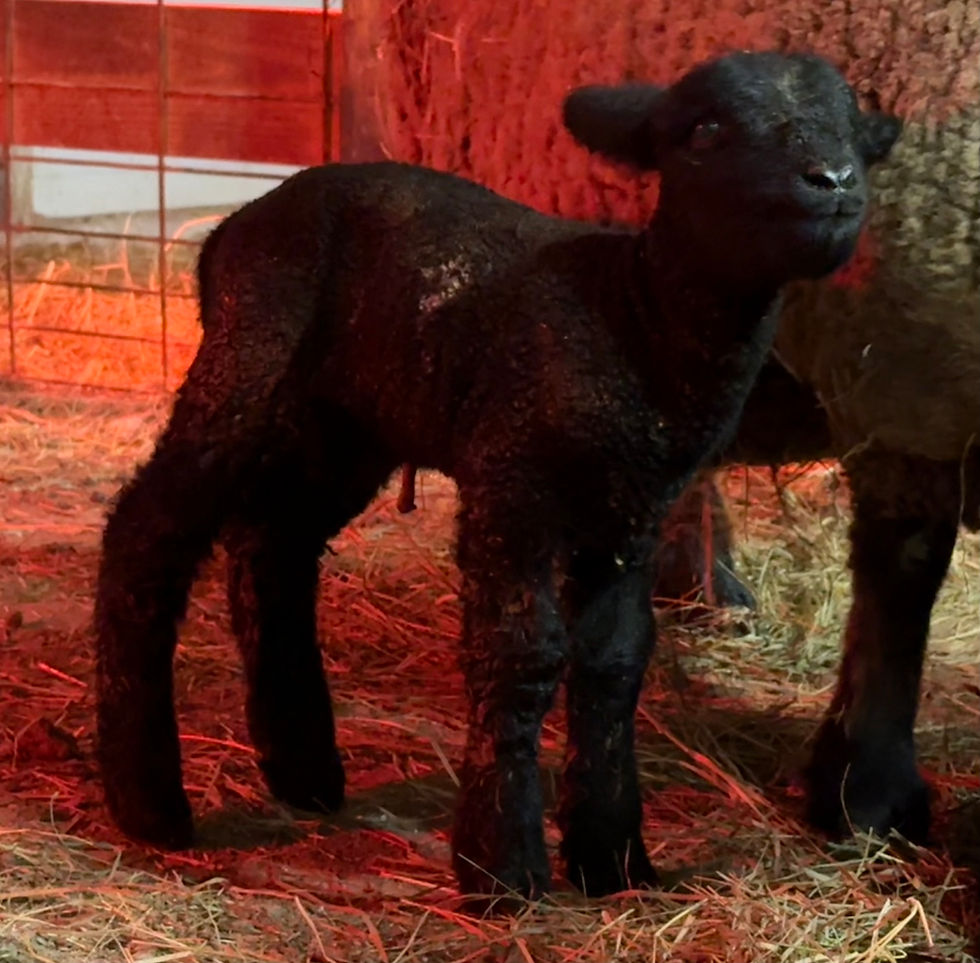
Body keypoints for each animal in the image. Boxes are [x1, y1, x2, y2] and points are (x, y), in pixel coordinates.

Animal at [94, 50, 900, 901]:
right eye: (707, 129)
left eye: (855, 129)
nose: (833, 180)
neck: (632, 318)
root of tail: (231, 229)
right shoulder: (511, 482)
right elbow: (521, 652)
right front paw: (502, 862)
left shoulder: (631, 514)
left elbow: (615, 660)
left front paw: (613, 856)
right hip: (249, 360)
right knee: (147, 534)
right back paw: (149, 802)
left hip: (343, 422)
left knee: (273, 545)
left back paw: (303, 771)